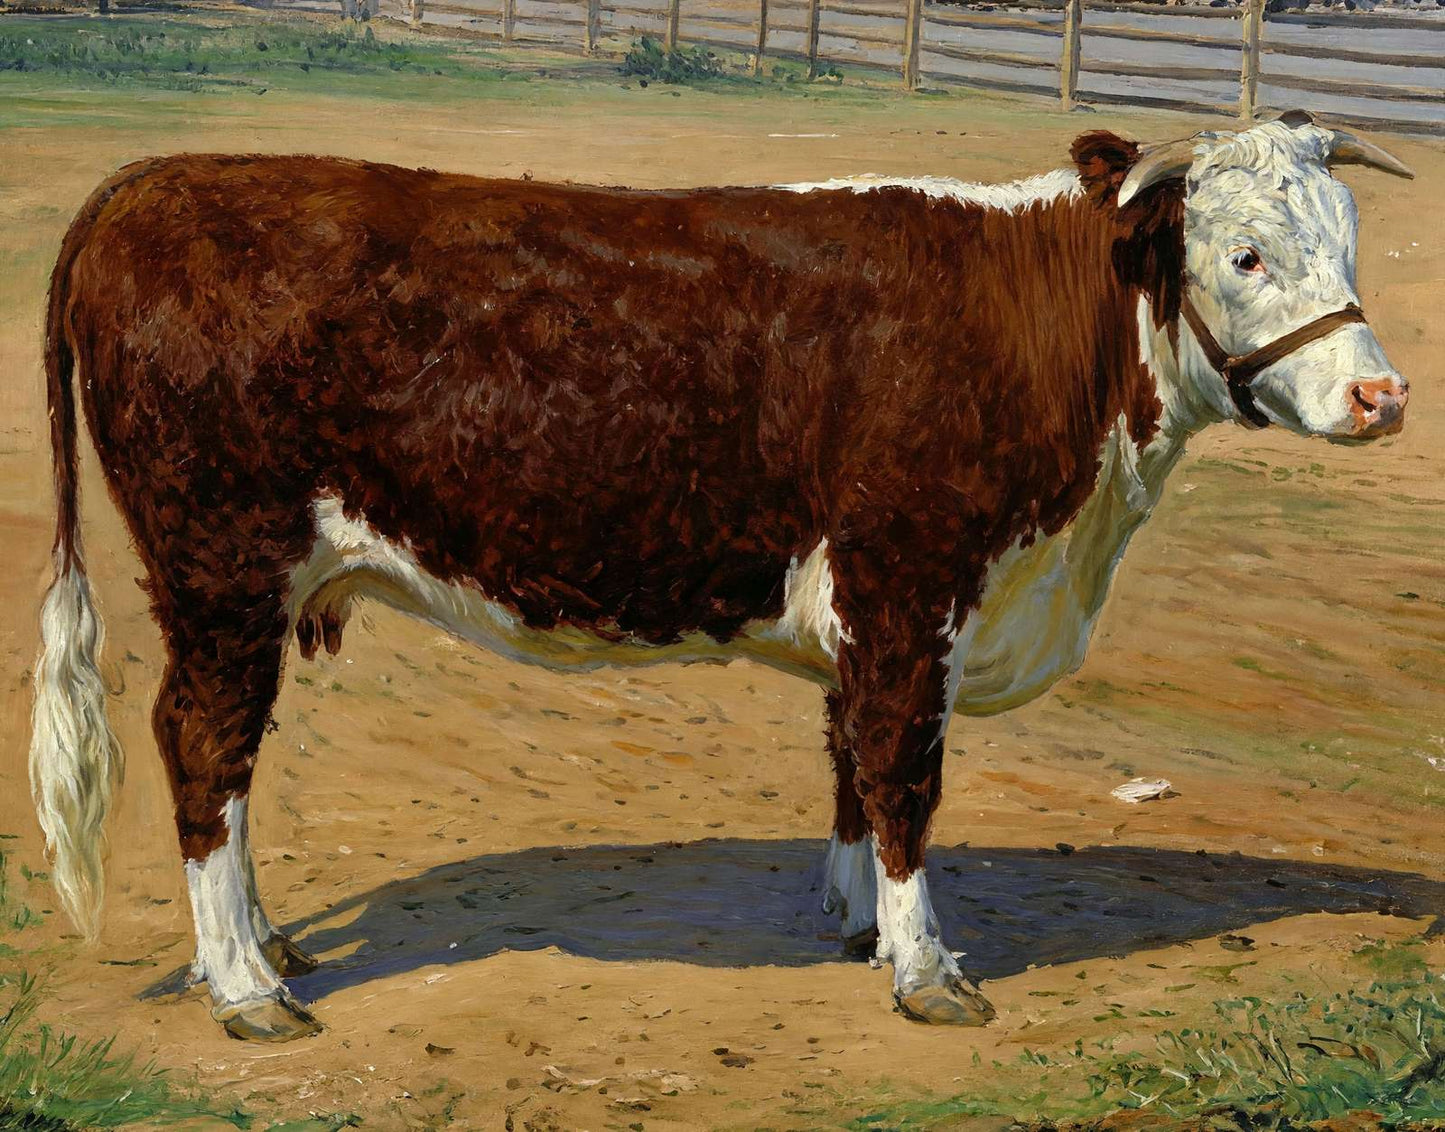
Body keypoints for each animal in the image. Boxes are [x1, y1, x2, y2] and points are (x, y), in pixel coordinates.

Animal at [30, 112, 1413, 1041]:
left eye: (1348, 241)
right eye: (1241, 254)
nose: (1381, 396)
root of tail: (158, 178)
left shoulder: (870, 616)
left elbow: (852, 767)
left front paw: (858, 927)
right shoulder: (908, 587)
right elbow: (904, 778)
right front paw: (926, 970)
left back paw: (263, 946)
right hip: (221, 570)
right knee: (203, 745)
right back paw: (246, 986)